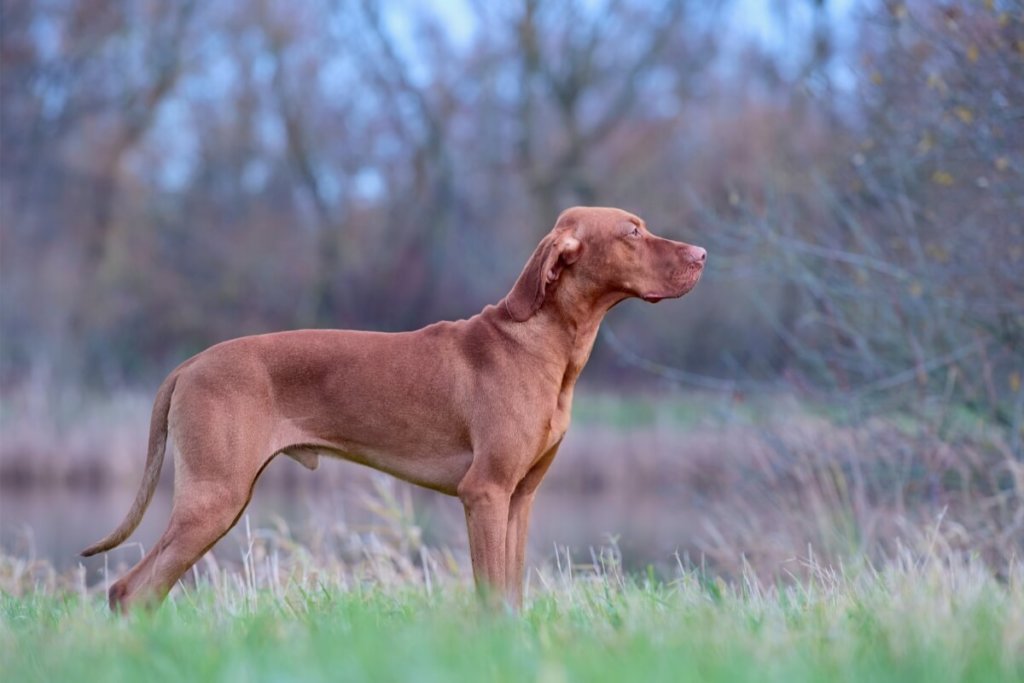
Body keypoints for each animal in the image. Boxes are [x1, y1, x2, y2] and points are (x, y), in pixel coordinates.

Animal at [81, 206, 704, 610]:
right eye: (632, 232)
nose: (701, 254)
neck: (542, 345)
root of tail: (188, 365)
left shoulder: (520, 498)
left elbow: (512, 592)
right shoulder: (484, 493)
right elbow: (489, 593)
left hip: (218, 502)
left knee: (142, 590)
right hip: (215, 497)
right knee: (129, 589)